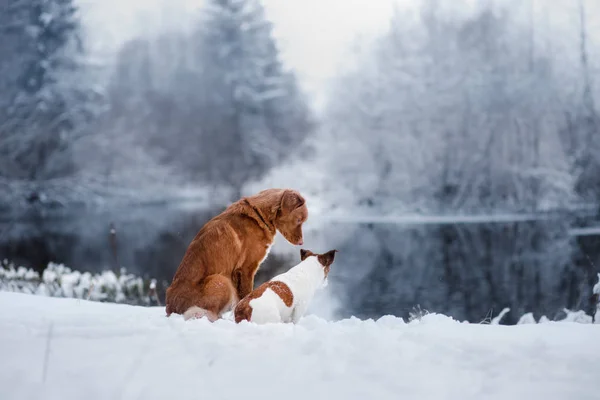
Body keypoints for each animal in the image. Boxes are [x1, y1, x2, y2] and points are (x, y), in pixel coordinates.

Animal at [164, 189, 308, 324]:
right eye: (299, 220)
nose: (302, 242)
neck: (259, 216)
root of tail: (170, 308)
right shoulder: (246, 269)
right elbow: (247, 295)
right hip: (220, 280)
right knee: (209, 313)